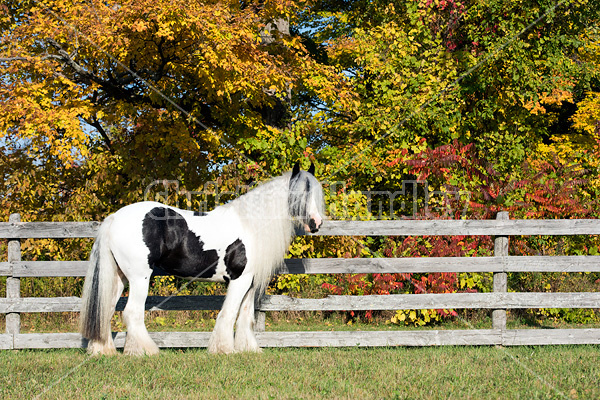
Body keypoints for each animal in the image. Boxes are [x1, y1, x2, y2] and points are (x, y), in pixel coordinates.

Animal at [80, 164, 326, 354]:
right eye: (301, 193)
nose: (316, 223)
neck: (251, 225)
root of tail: (114, 218)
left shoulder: (250, 282)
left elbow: (245, 317)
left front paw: (249, 349)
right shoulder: (239, 280)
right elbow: (229, 314)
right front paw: (224, 350)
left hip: (119, 278)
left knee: (106, 312)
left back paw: (104, 351)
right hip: (140, 278)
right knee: (132, 313)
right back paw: (149, 351)